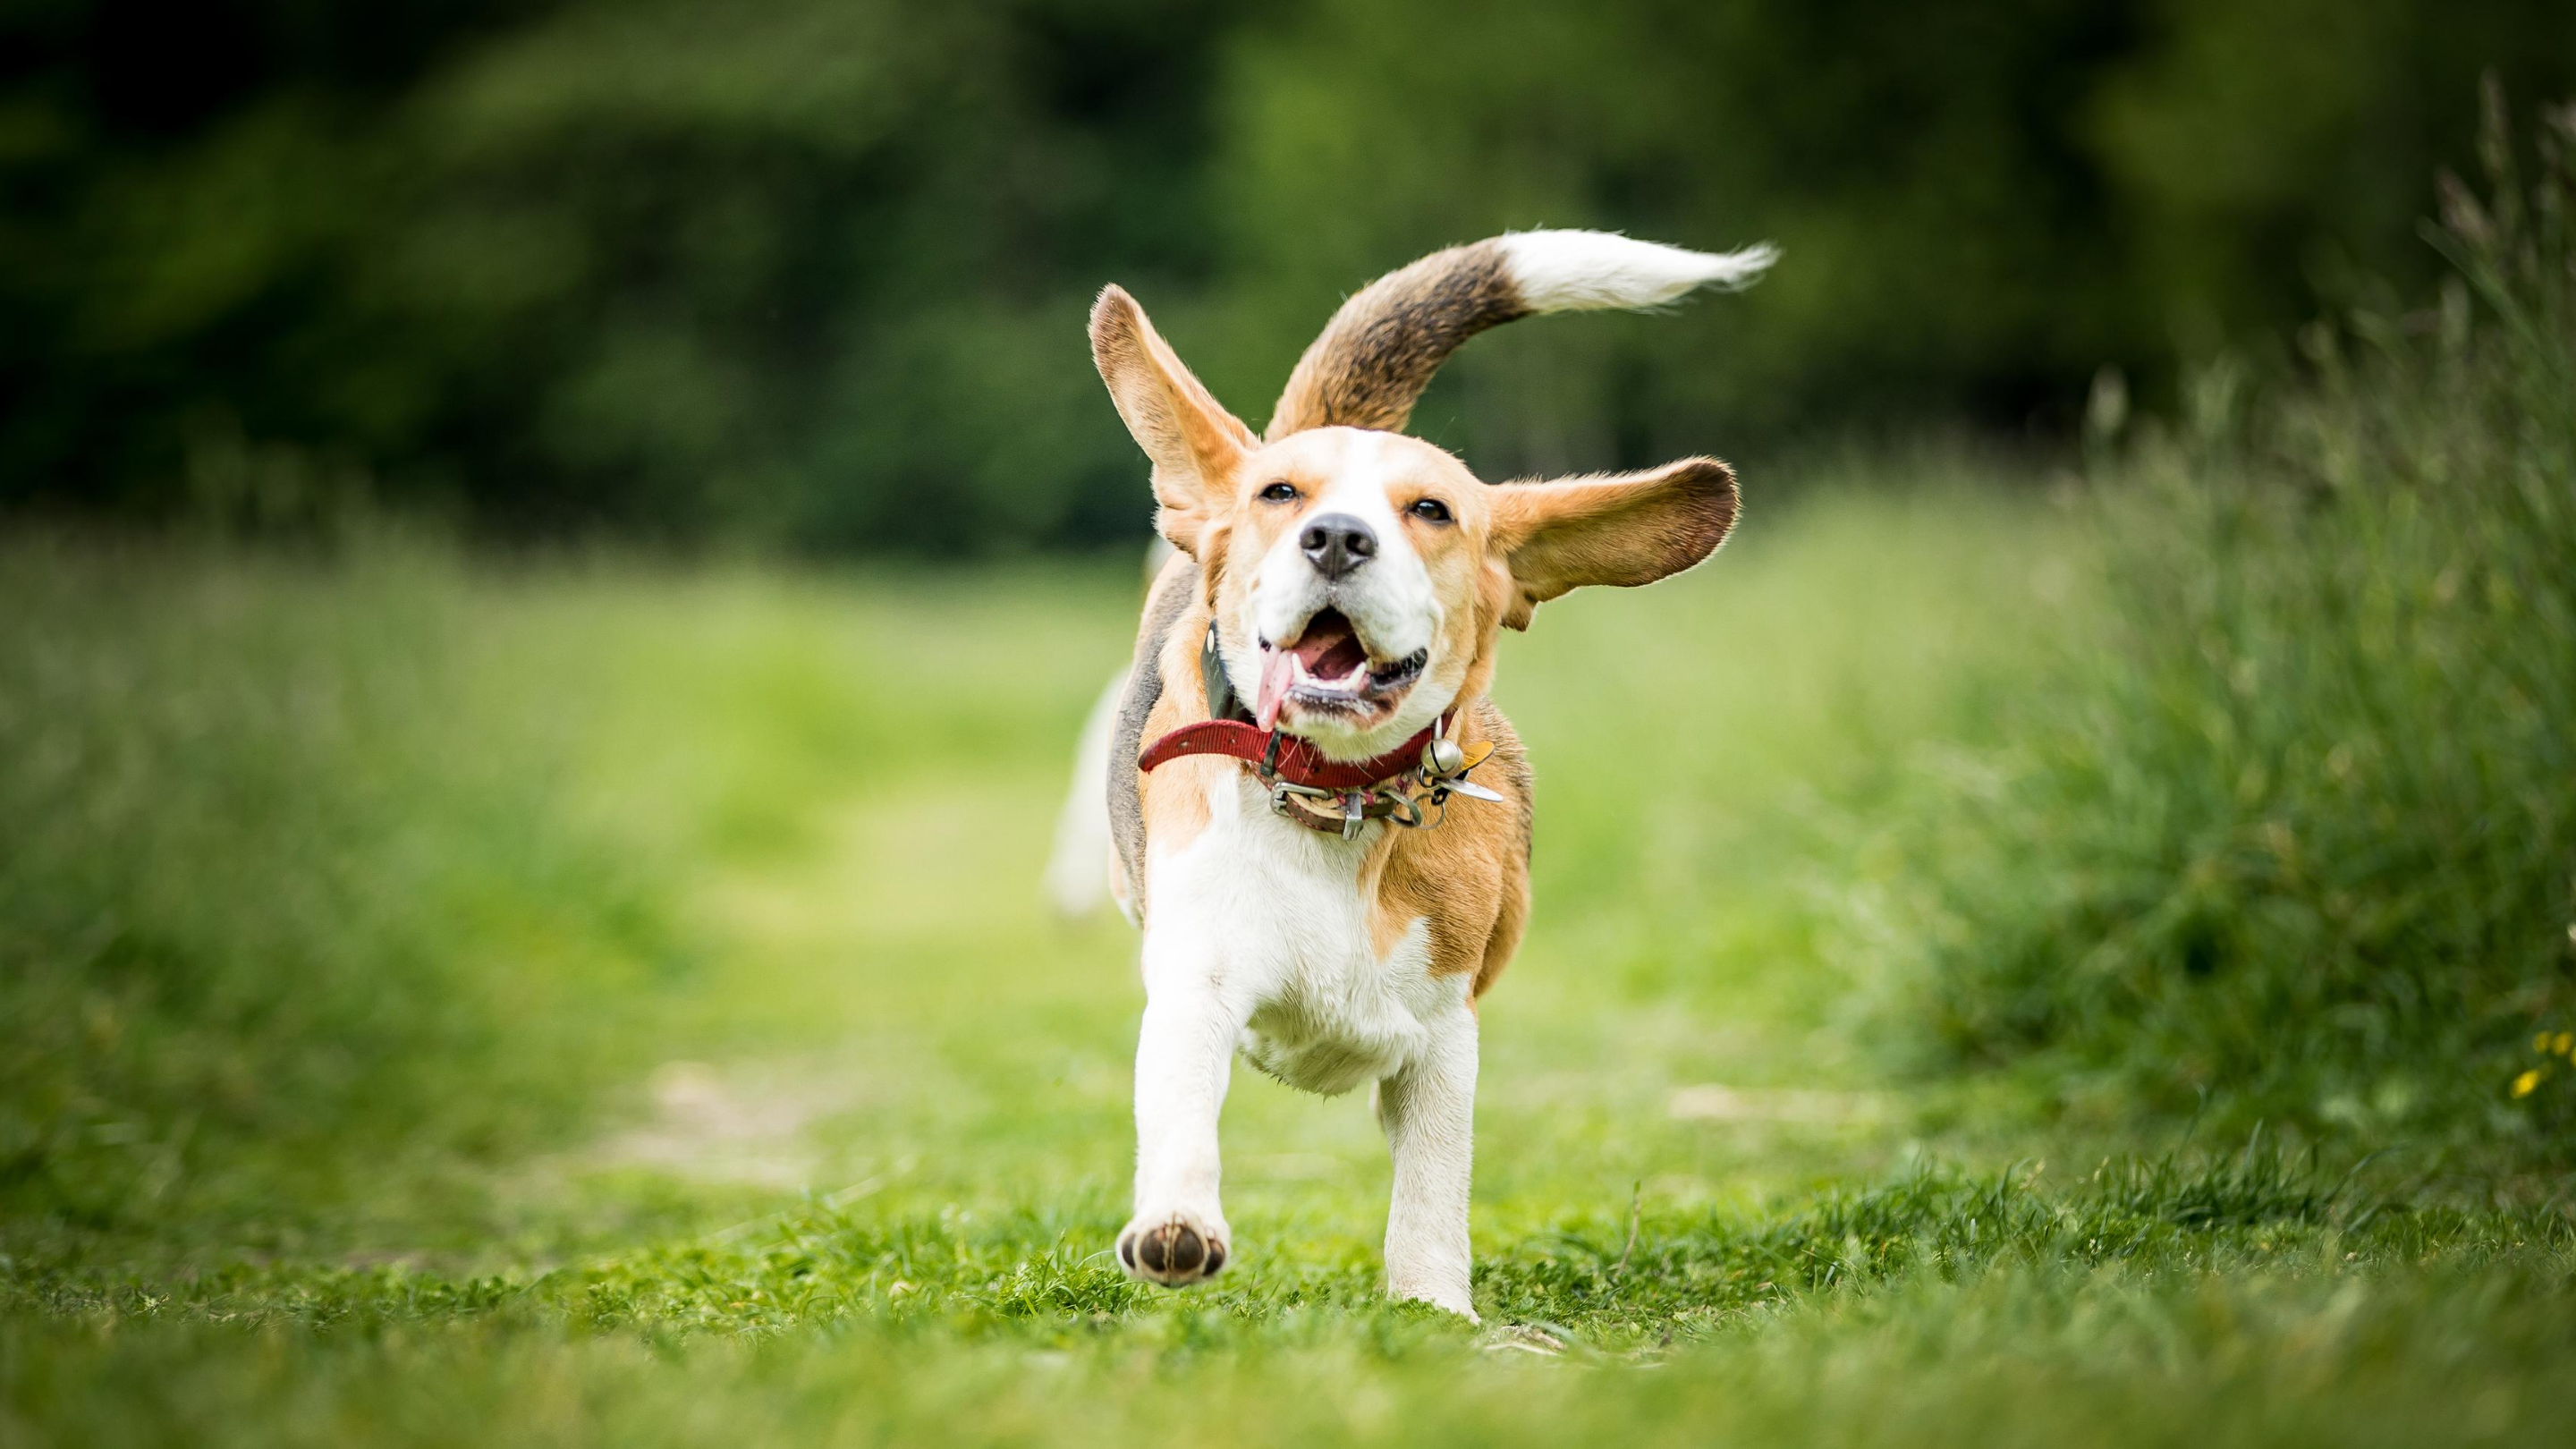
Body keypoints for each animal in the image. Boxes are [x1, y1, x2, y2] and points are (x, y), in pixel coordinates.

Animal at [1066, 223, 1772, 1309]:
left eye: (1431, 511)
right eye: (1280, 495)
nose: (1336, 538)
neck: (1336, 801)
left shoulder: (1444, 1035)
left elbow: (1434, 1185)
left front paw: (1434, 1307)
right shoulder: (1199, 977)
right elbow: (1182, 1106)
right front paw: (1178, 1225)